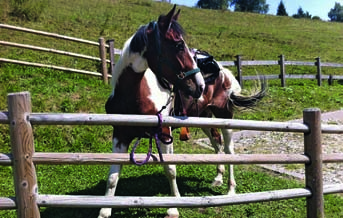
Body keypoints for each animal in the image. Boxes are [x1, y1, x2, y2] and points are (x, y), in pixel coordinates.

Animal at [98, 5, 206, 218]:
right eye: (179, 46)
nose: (200, 85)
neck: (133, 96)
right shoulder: (120, 136)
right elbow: (113, 176)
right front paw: (104, 211)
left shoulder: (163, 133)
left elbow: (170, 169)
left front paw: (174, 208)